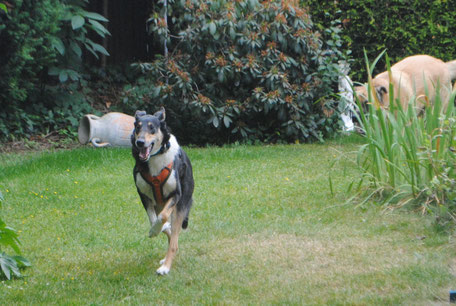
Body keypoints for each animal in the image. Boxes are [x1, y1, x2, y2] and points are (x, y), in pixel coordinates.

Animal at [133, 107, 195, 274]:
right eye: (138, 127)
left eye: (152, 127)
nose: (140, 142)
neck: (155, 159)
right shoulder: (144, 196)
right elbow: (155, 220)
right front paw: (155, 230)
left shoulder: (175, 194)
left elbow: (163, 217)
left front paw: (156, 230)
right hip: (161, 204)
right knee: (171, 234)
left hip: (181, 205)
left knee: (174, 242)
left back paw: (165, 267)